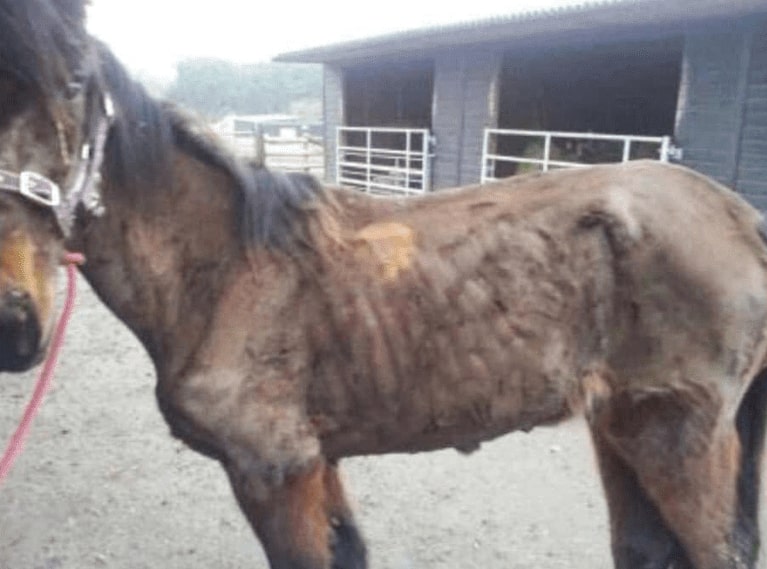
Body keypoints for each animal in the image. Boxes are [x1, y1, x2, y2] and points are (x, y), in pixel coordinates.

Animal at [1, 2, 767, 568]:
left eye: (74, 83)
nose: (15, 324)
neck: (227, 275)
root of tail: (739, 216)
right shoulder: (318, 463)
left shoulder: (275, 471)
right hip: (620, 426)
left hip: (676, 438)